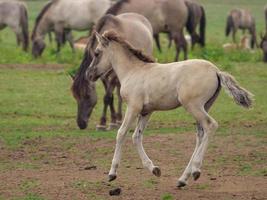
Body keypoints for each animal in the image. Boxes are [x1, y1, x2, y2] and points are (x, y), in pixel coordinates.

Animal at [87, 30, 253, 188]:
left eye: (97, 52)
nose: (89, 74)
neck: (133, 71)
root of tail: (216, 71)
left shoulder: (133, 107)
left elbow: (121, 133)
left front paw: (112, 173)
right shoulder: (146, 111)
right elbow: (136, 136)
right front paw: (154, 169)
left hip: (193, 106)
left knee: (210, 126)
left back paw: (196, 170)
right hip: (205, 106)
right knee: (200, 135)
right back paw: (183, 179)